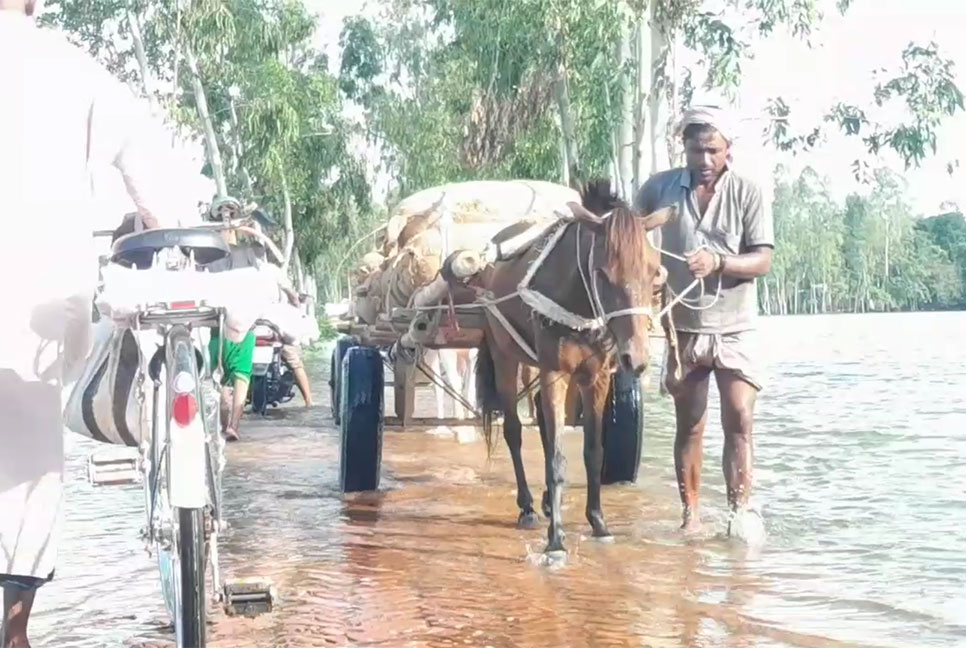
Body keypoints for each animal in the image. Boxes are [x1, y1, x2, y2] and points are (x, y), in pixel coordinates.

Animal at [470, 177, 668, 552]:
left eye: (654, 273)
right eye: (603, 274)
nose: (635, 359)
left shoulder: (597, 376)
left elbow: (592, 451)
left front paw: (598, 521)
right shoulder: (554, 372)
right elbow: (557, 457)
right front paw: (556, 538)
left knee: (546, 427)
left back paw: (549, 502)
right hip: (506, 358)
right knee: (514, 431)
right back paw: (528, 506)